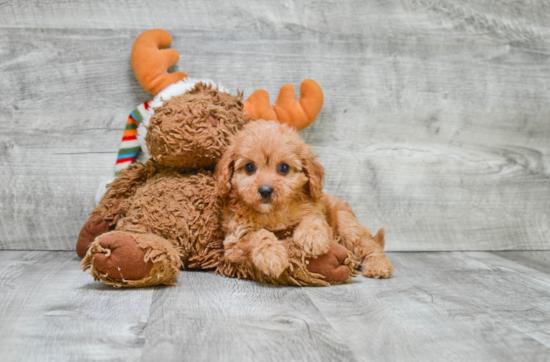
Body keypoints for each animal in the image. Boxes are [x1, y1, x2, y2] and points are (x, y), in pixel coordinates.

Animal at [215, 120, 392, 278]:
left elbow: (312, 219)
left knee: (370, 246)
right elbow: (256, 235)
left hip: (346, 223)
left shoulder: (318, 213)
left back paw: (378, 266)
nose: (265, 190)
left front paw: (312, 237)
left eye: (284, 168)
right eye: (249, 167)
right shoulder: (233, 241)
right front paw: (272, 255)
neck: (273, 213)